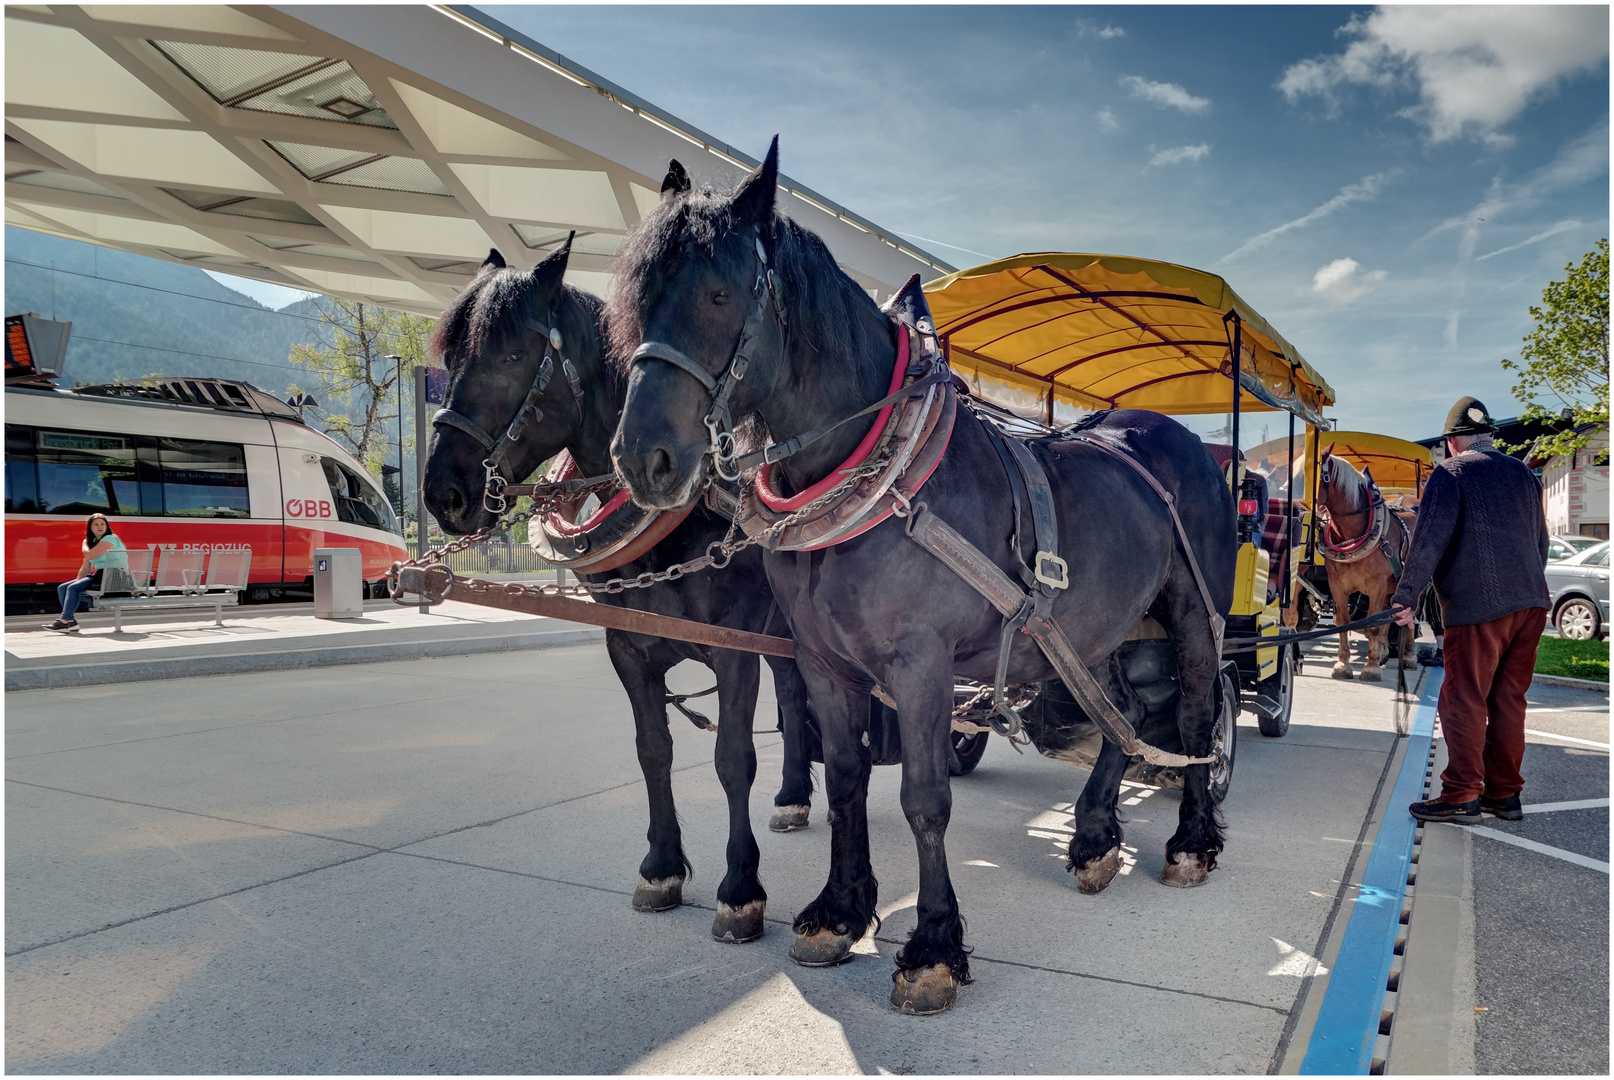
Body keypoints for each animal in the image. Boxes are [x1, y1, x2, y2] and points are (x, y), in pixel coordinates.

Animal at [419, 237, 819, 942]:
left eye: (513, 354)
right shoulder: (628, 649)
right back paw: (794, 795)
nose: (444, 491)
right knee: (794, 694)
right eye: (451, 357)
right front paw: (660, 868)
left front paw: (740, 888)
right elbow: (652, 750)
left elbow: (732, 758)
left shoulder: (734, 648)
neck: (677, 517)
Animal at [606, 142, 1233, 1013]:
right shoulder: (822, 662)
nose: (644, 460)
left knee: (1201, 712)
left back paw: (1192, 841)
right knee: (1126, 710)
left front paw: (932, 948)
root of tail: (1174, 437)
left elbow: (924, 798)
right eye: (634, 299)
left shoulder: (920, 663)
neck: (873, 474)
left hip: (1192, 611)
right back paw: (1094, 836)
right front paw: (839, 911)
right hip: (1086, 625)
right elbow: (842, 780)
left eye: (719, 291)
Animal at [1317, 445, 1420, 681]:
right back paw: (1382, 652)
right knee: (1389, 613)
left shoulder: (1376, 585)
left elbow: (1372, 625)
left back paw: (1409, 657)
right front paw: (1342, 665)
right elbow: (1343, 622)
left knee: (1409, 615)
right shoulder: (1337, 585)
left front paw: (1370, 668)